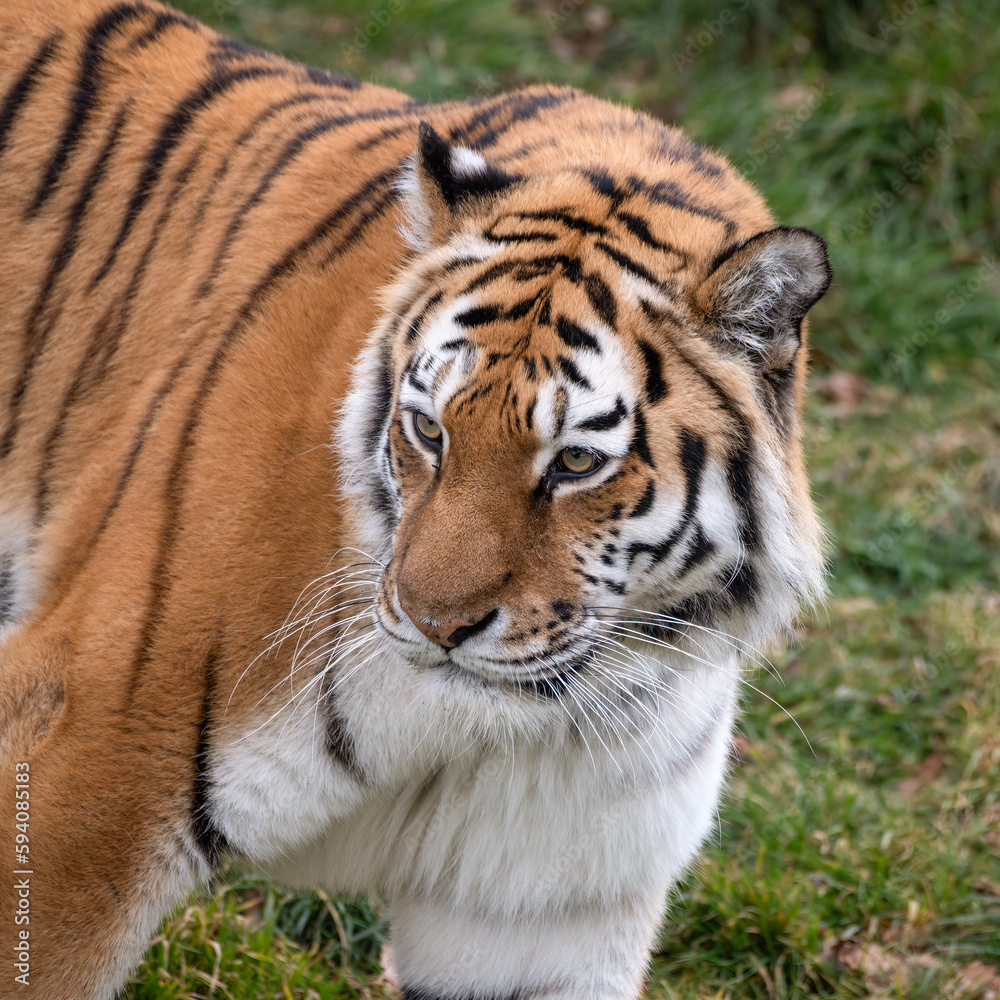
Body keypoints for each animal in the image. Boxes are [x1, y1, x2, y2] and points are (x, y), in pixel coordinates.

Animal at [0, 0, 828, 996]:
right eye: (430, 431)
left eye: (575, 462)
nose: (438, 626)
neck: (505, 729)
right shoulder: (81, 765)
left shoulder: (547, 914)